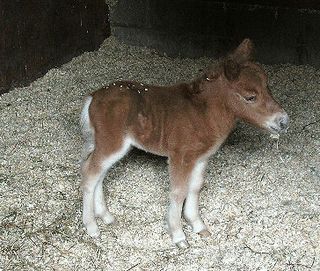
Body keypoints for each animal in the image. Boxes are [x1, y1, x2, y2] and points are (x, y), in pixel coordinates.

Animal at [79, 39, 288, 250]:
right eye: (250, 97)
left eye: (268, 88)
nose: (284, 121)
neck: (203, 114)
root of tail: (93, 97)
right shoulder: (180, 156)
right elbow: (179, 192)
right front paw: (178, 236)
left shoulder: (201, 157)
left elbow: (195, 187)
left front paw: (197, 225)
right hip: (112, 143)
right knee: (90, 173)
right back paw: (92, 227)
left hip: (109, 145)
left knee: (98, 173)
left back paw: (106, 216)